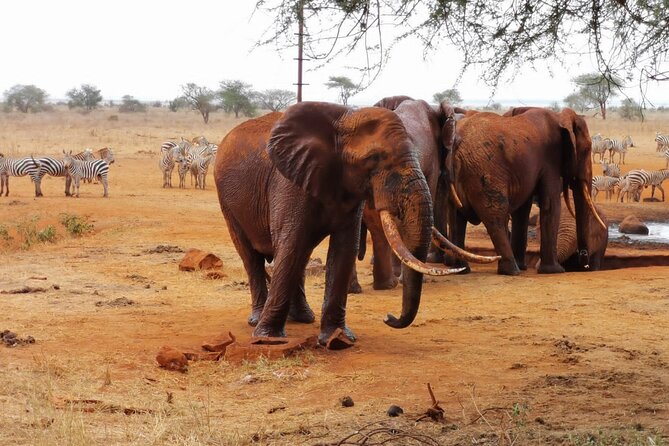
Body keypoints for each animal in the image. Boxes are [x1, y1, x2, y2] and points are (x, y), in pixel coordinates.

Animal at [214, 102, 465, 346]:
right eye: (373, 158)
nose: (389, 317)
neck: (344, 119)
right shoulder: (288, 183)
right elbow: (291, 243)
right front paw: (268, 339)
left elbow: (344, 249)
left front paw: (338, 340)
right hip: (227, 202)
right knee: (253, 256)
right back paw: (258, 321)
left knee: (300, 254)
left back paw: (303, 318)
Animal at [446, 106, 606, 276]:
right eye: (587, 149)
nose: (584, 262)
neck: (559, 117)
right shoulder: (550, 160)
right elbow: (551, 204)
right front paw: (554, 271)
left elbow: (522, 210)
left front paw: (527, 267)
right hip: (484, 171)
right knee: (495, 216)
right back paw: (512, 271)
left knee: (457, 216)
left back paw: (462, 269)